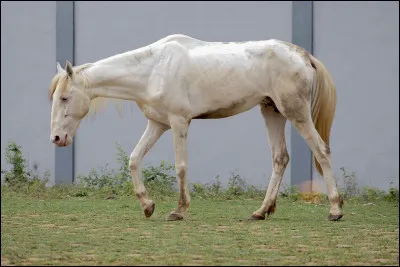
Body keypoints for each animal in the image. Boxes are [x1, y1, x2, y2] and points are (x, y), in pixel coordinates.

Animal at [49, 33, 344, 222]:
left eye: (64, 98)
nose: (57, 138)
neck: (153, 69)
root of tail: (303, 55)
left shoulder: (179, 122)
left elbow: (180, 167)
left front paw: (178, 210)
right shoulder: (158, 124)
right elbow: (134, 160)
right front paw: (147, 206)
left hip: (296, 113)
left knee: (322, 151)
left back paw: (335, 210)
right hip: (272, 112)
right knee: (280, 158)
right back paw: (261, 212)